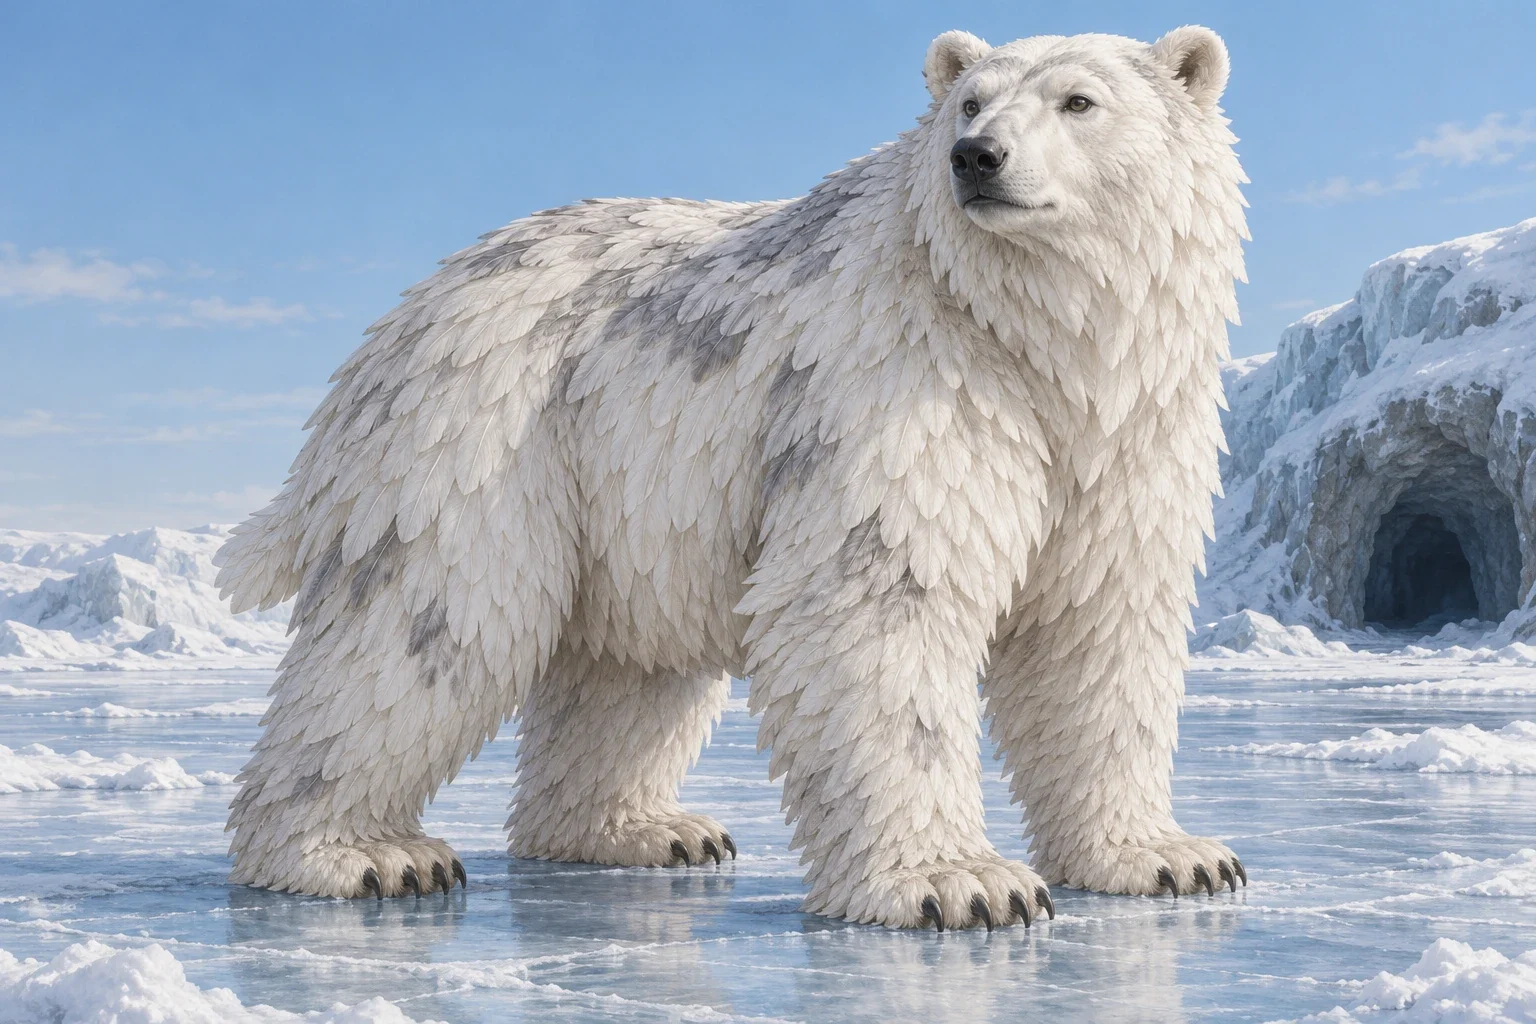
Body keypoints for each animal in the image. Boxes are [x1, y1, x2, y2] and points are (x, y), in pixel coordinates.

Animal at [216, 23, 1249, 930]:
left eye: (1079, 101)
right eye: (969, 101)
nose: (977, 158)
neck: (1034, 342)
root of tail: (405, 312)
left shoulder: (1128, 441)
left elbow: (1099, 633)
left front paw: (1174, 858)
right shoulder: (903, 390)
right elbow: (879, 600)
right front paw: (963, 885)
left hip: (630, 492)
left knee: (630, 668)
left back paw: (646, 832)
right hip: (481, 442)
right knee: (428, 623)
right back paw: (362, 854)